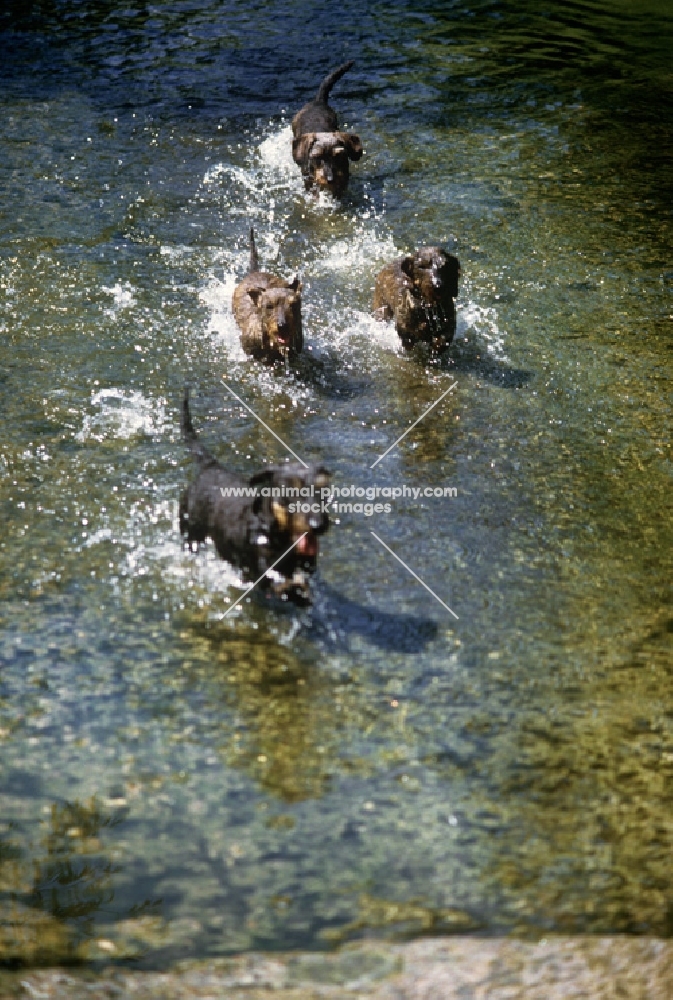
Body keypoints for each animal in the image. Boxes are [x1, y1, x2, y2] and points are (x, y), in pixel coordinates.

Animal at [290, 62, 362, 197]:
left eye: (338, 156)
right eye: (318, 157)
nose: (330, 179)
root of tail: (318, 101)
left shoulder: (344, 177)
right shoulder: (309, 181)